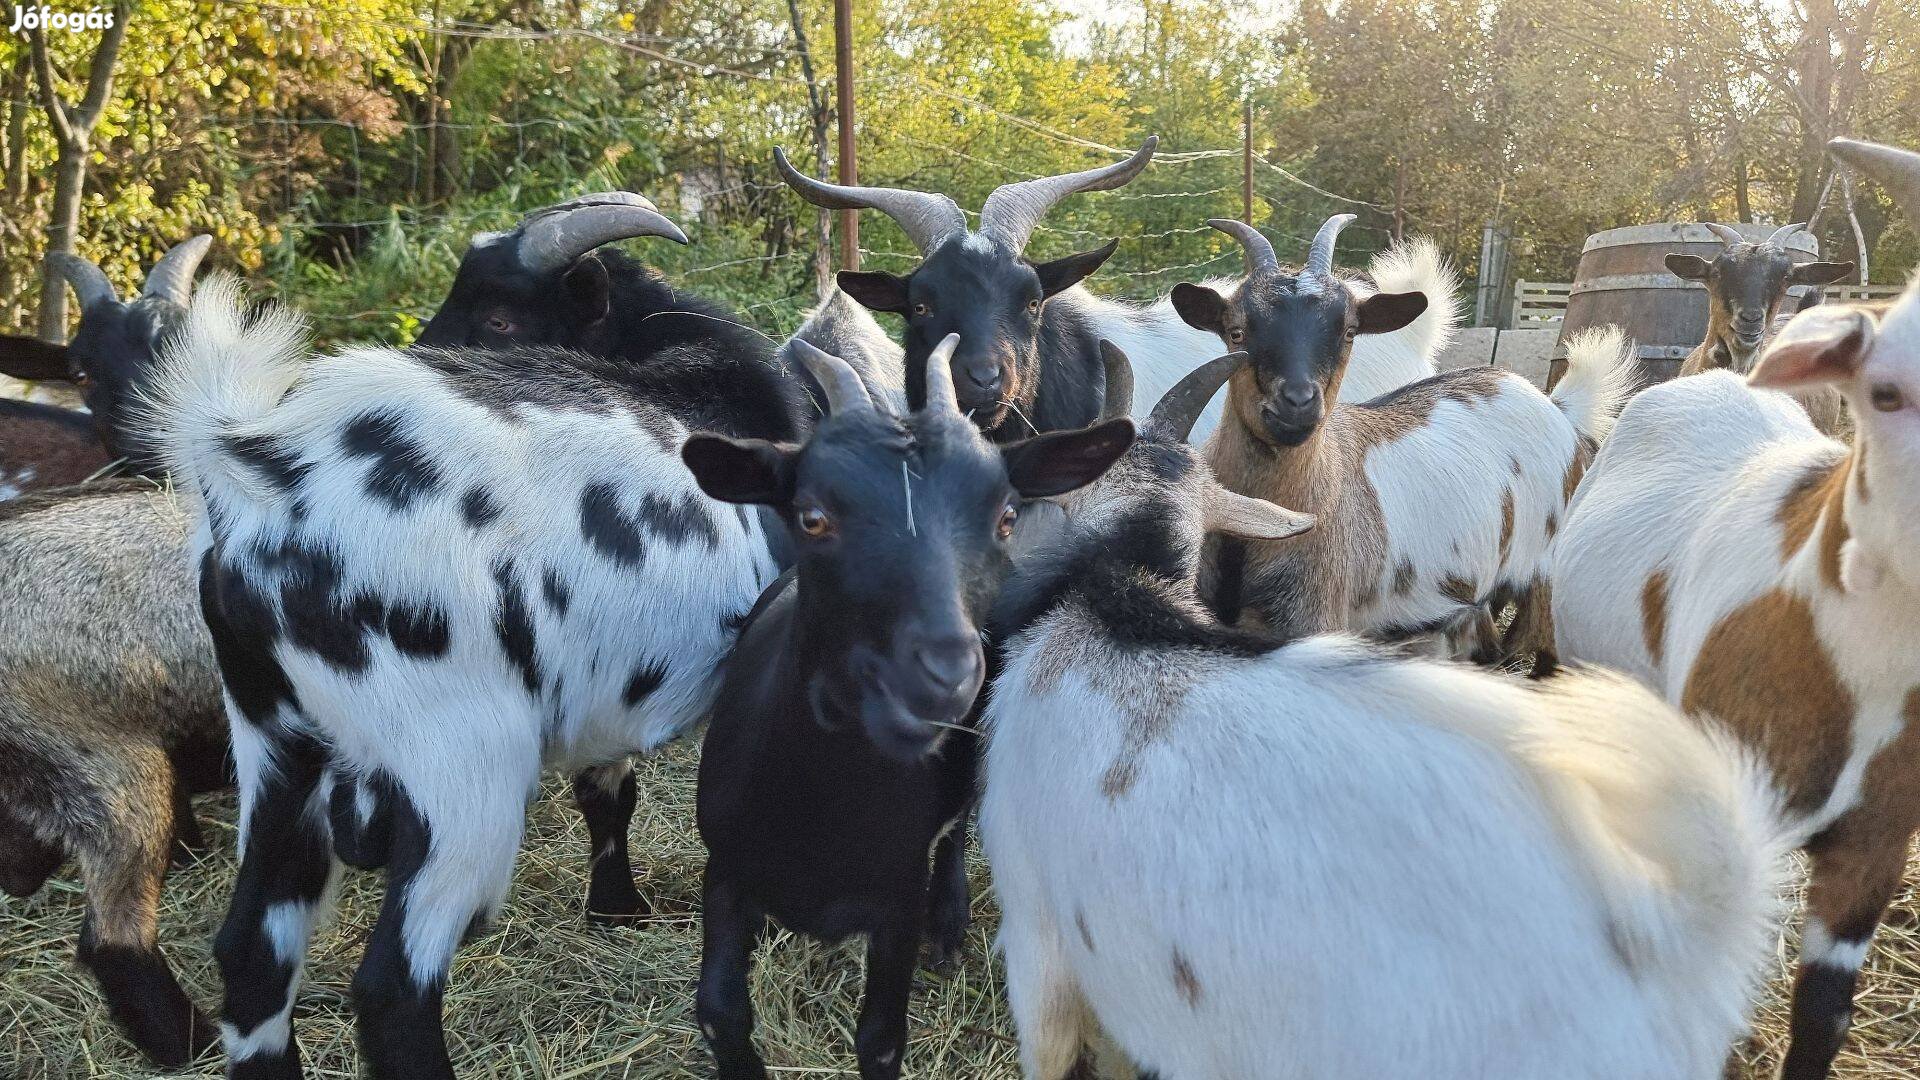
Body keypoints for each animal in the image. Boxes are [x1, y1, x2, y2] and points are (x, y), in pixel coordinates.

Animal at [151, 265, 825, 1068]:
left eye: (501, 318)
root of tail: (260, 481)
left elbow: (609, 792)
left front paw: (618, 909)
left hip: (278, 741)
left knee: (252, 954)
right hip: (462, 765)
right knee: (394, 987)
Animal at [695, 336, 1136, 1076]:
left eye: (1006, 517)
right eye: (812, 516)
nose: (943, 675)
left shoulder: (895, 901)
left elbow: (880, 1040)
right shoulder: (723, 872)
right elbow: (719, 1011)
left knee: (957, 825)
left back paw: (950, 922)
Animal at [1175, 214, 1628, 657]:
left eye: (1349, 332)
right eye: (1236, 331)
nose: (1298, 403)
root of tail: (1557, 406)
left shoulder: (1314, 617)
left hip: (1546, 584)